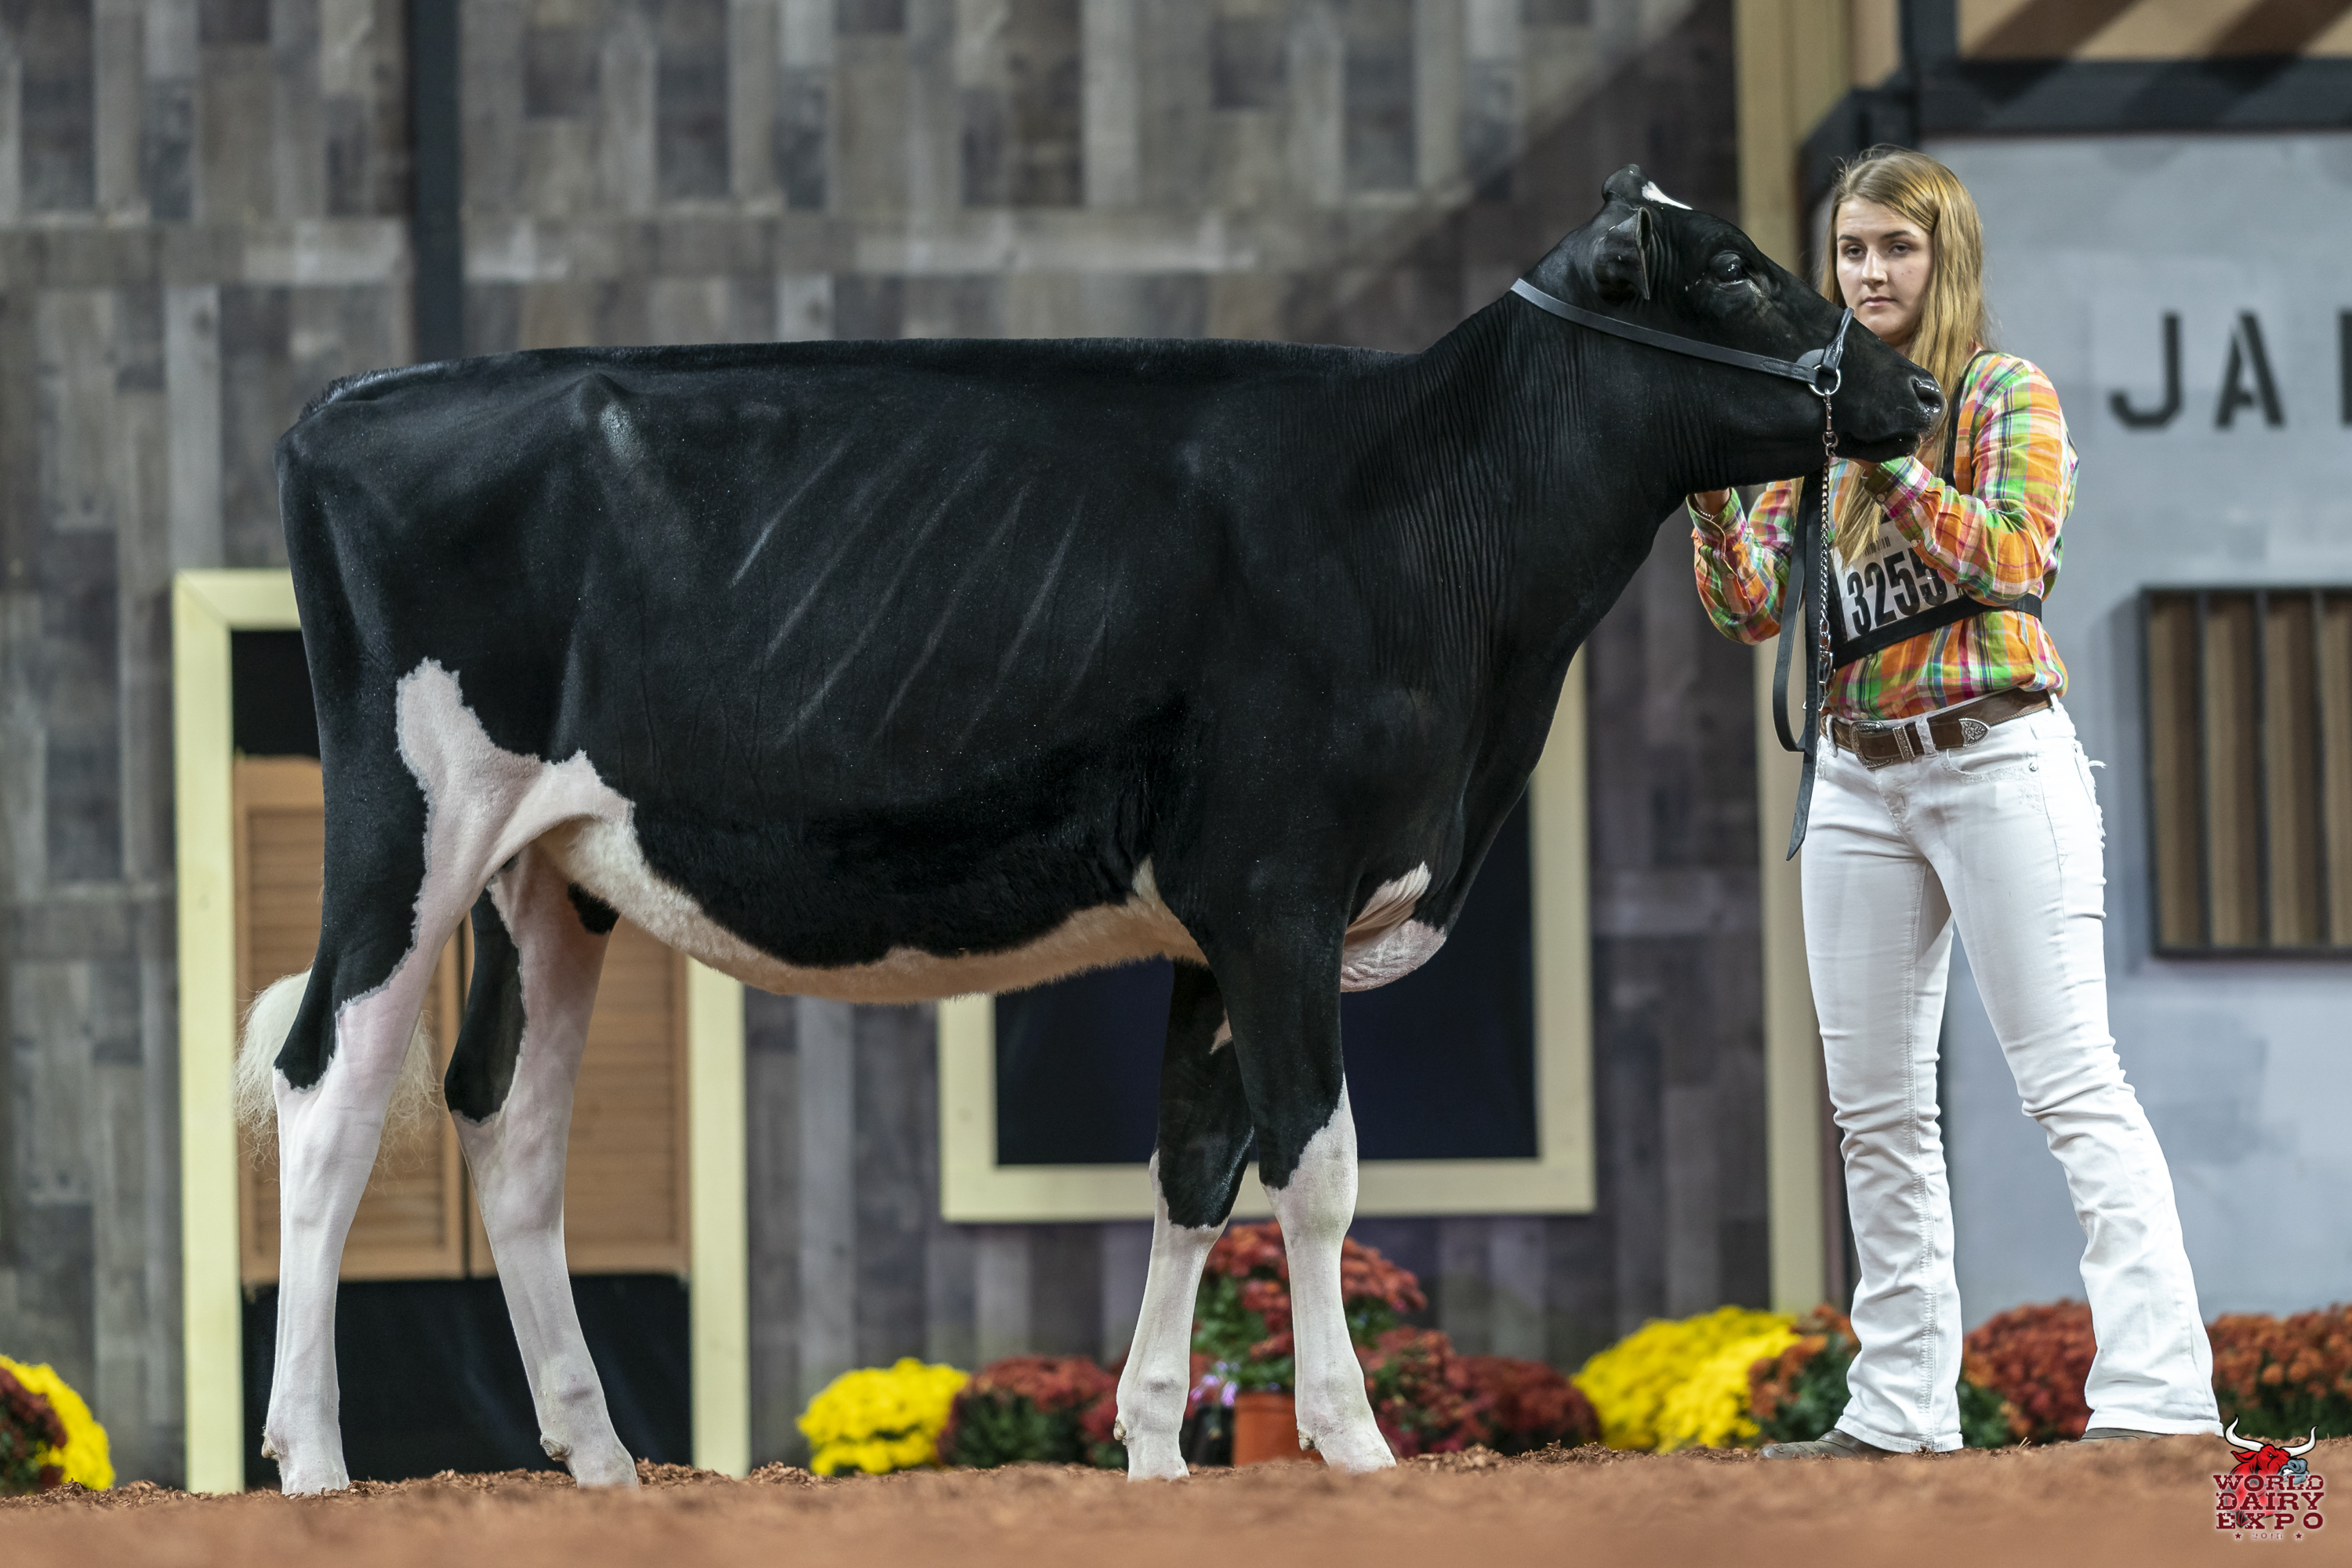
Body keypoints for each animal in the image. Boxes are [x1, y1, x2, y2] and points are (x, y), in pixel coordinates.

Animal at [234, 164, 1939, 1493]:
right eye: (1732, 266)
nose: (1917, 391)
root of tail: (352, 401)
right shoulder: (1280, 887)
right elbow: (1317, 1162)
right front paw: (1351, 1438)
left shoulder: (1216, 918)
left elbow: (1195, 1168)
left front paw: (1158, 1444)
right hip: (409, 830)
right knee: (333, 1091)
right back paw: (311, 1459)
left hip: (548, 870)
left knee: (510, 1127)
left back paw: (598, 1461)